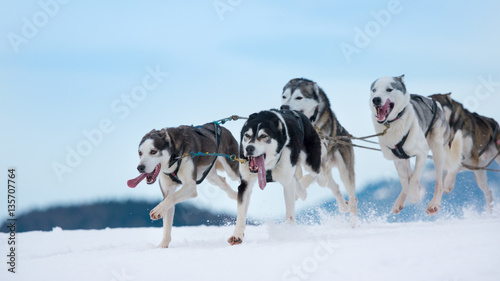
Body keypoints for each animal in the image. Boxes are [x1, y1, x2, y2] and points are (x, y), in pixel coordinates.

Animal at [229, 108, 322, 244]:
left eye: (263, 136)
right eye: (247, 135)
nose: (249, 148)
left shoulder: (288, 183)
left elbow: (290, 212)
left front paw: (289, 232)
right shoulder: (245, 183)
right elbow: (241, 213)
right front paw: (237, 235)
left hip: (312, 163)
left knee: (315, 176)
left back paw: (302, 191)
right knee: (296, 179)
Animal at [280, 79, 358, 217]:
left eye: (299, 97)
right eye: (284, 97)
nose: (284, 107)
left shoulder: (320, 160)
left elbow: (314, 178)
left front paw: (301, 188)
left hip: (345, 171)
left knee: (350, 198)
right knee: (334, 186)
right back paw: (342, 205)